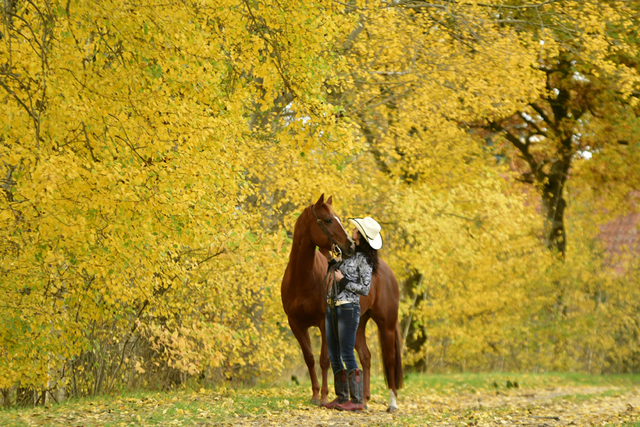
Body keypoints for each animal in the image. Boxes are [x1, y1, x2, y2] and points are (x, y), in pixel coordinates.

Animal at [282, 196, 402, 412]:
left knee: (389, 359)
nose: (350, 246)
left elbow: (324, 360)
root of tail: (386, 271)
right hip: (358, 325)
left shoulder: (323, 323)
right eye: (328, 220)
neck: (301, 278)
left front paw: (323, 397)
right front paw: (314, 395)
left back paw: (392, 403)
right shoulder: (296, 324)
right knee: (365, 356)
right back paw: (363, 400)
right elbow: (309, 358)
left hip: (386, 324)